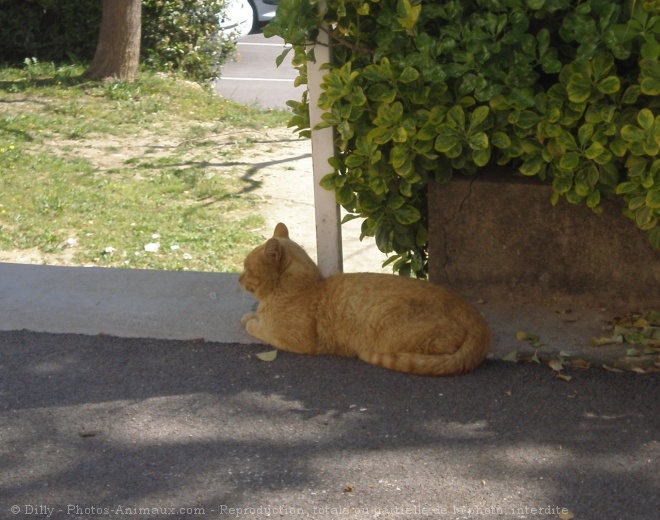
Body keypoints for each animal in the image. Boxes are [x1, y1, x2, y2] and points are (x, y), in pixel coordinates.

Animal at [237, 223, 490, 378]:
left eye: (246, 268)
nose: (238, 278)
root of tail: (475, 317)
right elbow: (256, 316)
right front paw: (251, 315)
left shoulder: (292, 340)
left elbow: (259, 327)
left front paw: (250, 321)